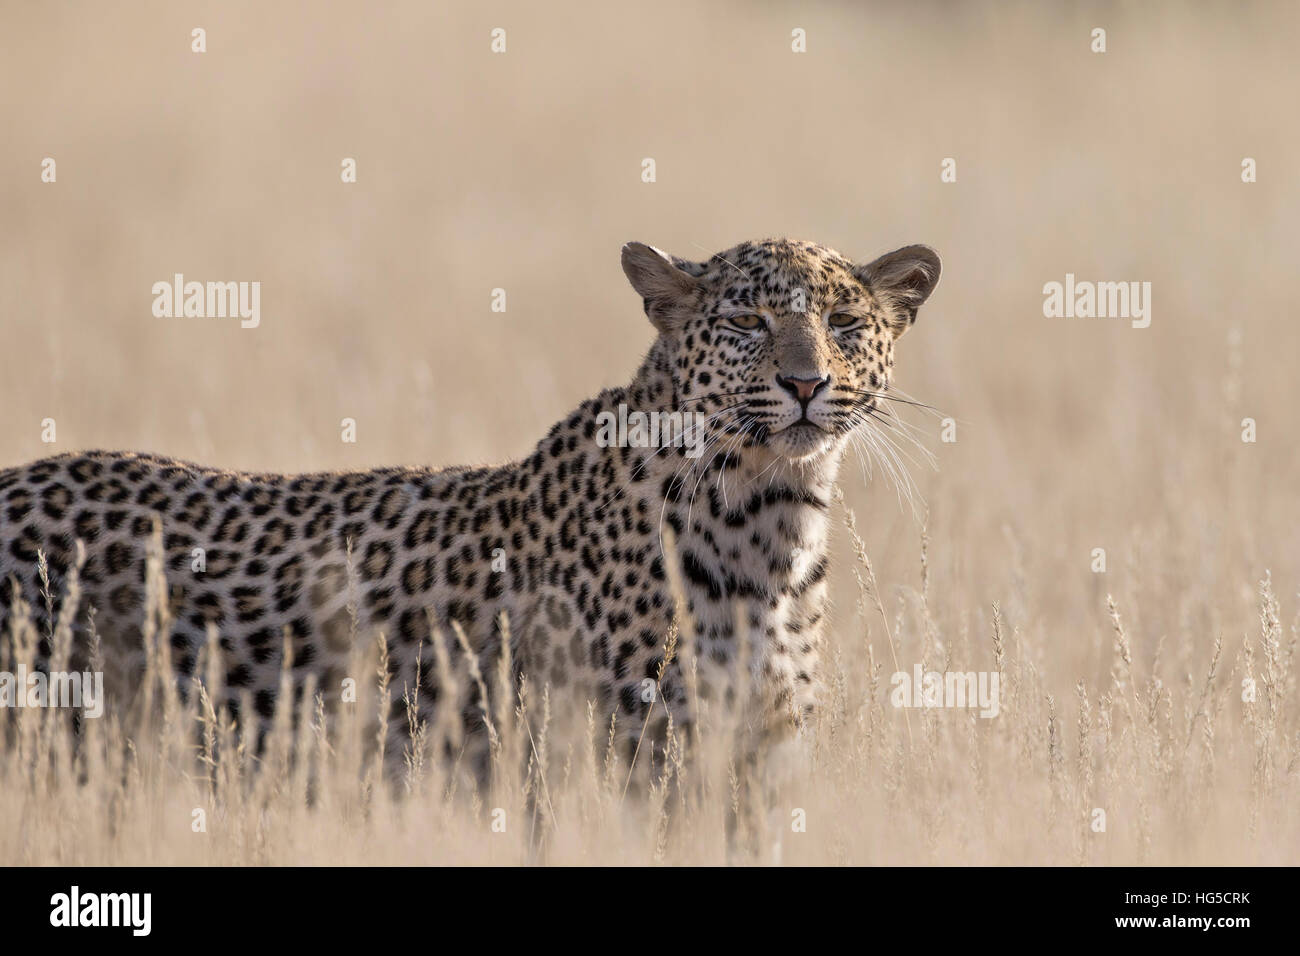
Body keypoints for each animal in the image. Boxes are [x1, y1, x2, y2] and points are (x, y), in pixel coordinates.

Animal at [0, 238, 935, 790]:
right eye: (745, 319)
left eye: (845, 322)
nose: (806, 384)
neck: (771, 519)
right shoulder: (632, 764)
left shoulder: (758, 763)